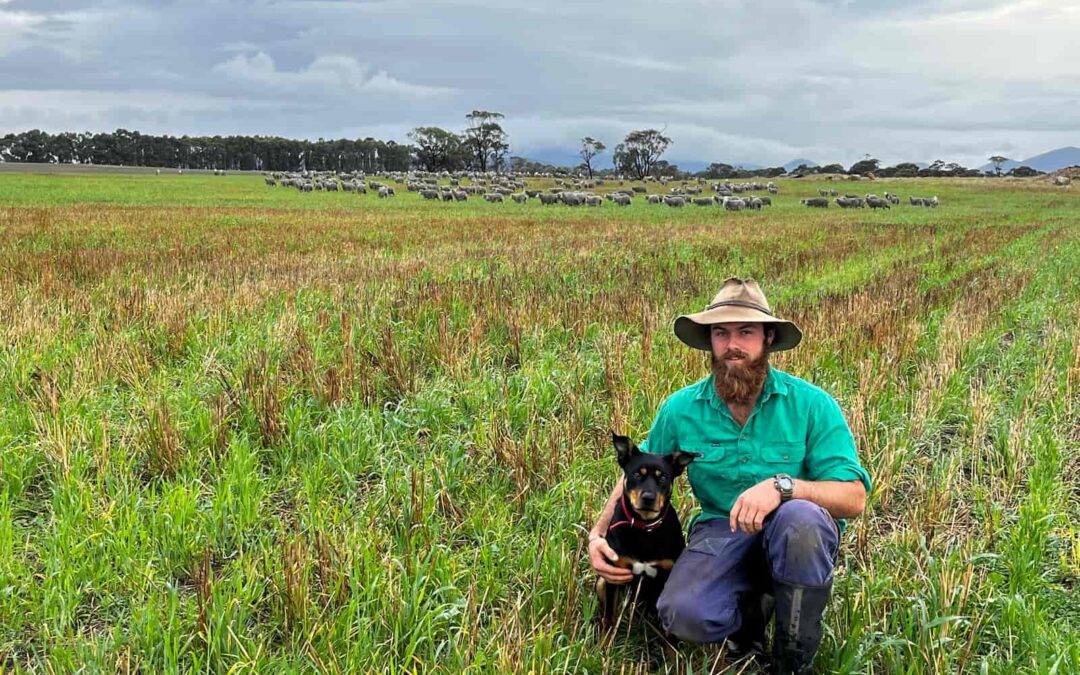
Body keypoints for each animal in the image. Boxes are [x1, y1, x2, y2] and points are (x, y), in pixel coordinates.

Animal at [600, 434, 699, 630]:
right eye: (637, 474)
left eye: (663, 477)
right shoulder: (614, 574)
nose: (648, 498)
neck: (644, 527)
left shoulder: (667, 576)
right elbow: (609, 618)